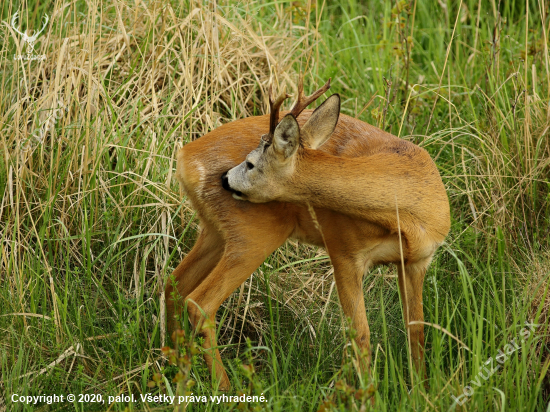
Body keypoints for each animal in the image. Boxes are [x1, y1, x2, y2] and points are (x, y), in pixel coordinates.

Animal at [168, 79, 452, 390]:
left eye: (251, 163)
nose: (224, 178)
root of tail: (185, 158)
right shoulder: (344, 252)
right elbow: (360, 334)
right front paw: (364, 393)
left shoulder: (417, 261)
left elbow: (417, 331)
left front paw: (421, 390)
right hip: (253, 236)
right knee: (200, 303)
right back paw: (225, 388)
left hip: (216, 231)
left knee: (173, 284)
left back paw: (174, 366)